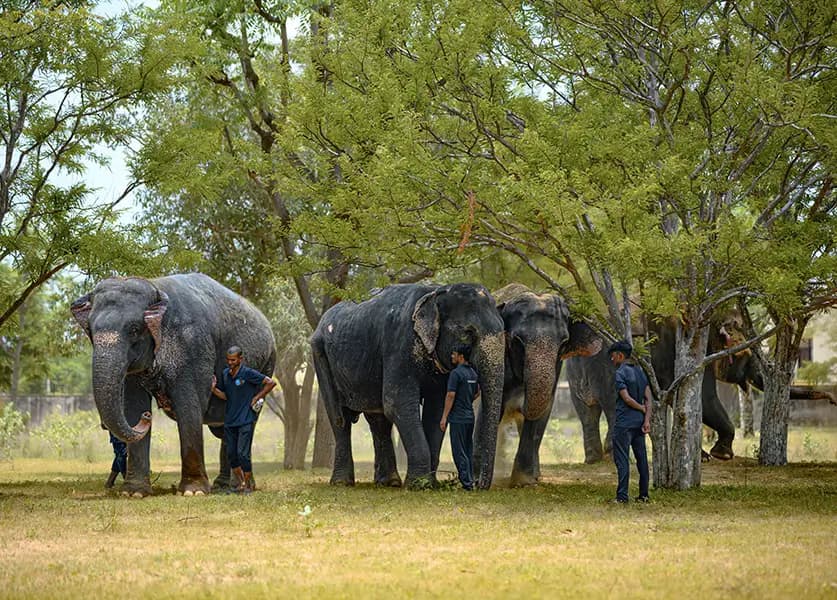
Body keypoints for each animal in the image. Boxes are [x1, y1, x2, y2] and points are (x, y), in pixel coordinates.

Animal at [71, 273, 276, 496]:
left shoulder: (193, 345)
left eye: (134, 330)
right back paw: (225, 485)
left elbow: (189, 405)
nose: (148, 416)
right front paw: (133, 493)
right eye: (90, 331)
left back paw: (244, 486)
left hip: (267, 362)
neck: (155, 287)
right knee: (224, 430)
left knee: (246, 425)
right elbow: (133, 405)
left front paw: (193, 492)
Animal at [310, 283, 505, 489]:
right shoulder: (399, 346)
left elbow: (437, 409)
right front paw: (419, 485)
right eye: (468, 333)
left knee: (378, 420)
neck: (436, 292)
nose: (478, 484)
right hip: (320, 357)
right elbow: (397, 403)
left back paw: (389, 483)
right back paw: (342, 483)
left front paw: (430, 484)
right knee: (340, 418)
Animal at [479, 284, 602, 486]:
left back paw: (535, 476)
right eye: (517, 340)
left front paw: (523, 482)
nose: (519, 402)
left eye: (564, 343)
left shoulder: (557, 367)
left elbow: (542, 414)